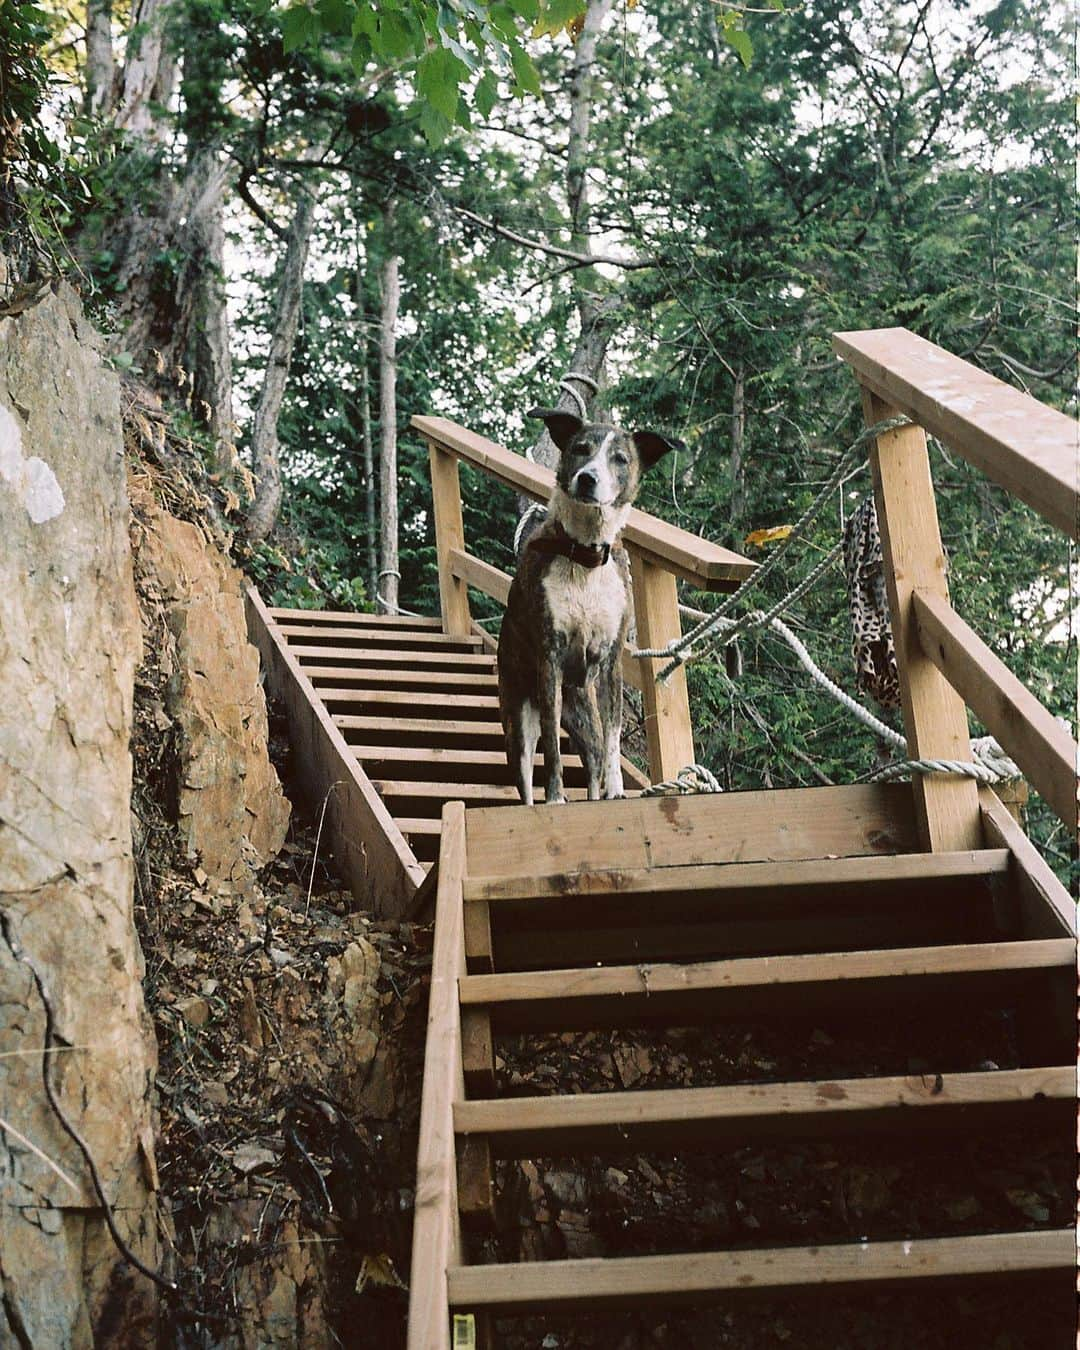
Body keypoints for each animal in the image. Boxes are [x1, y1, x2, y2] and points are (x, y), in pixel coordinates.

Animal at [496, 405, 680, 804]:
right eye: (580, 449)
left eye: (620, 459)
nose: (587, 479)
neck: (585, 555)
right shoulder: (550, 656)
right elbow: (552, 747)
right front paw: (555, 797)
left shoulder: (610, 661)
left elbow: (613, 740)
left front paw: (616, 790)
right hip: (518, 721)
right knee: (526, 774)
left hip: (584, 719)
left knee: (594, 759)